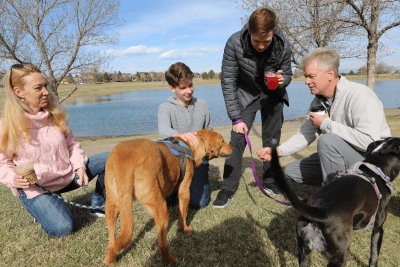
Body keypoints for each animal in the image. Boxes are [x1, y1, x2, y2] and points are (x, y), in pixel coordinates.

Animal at [104, 130, 234, 266]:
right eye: (223, 141)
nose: (233, 148)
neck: (190, 145)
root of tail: (126, 160)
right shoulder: (184, 191)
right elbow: (183, 215)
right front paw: (185, 229)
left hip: (111, 208)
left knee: (112, 242)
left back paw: (111, 258)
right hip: (161, 208)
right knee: (161, 243)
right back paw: (169, 259)